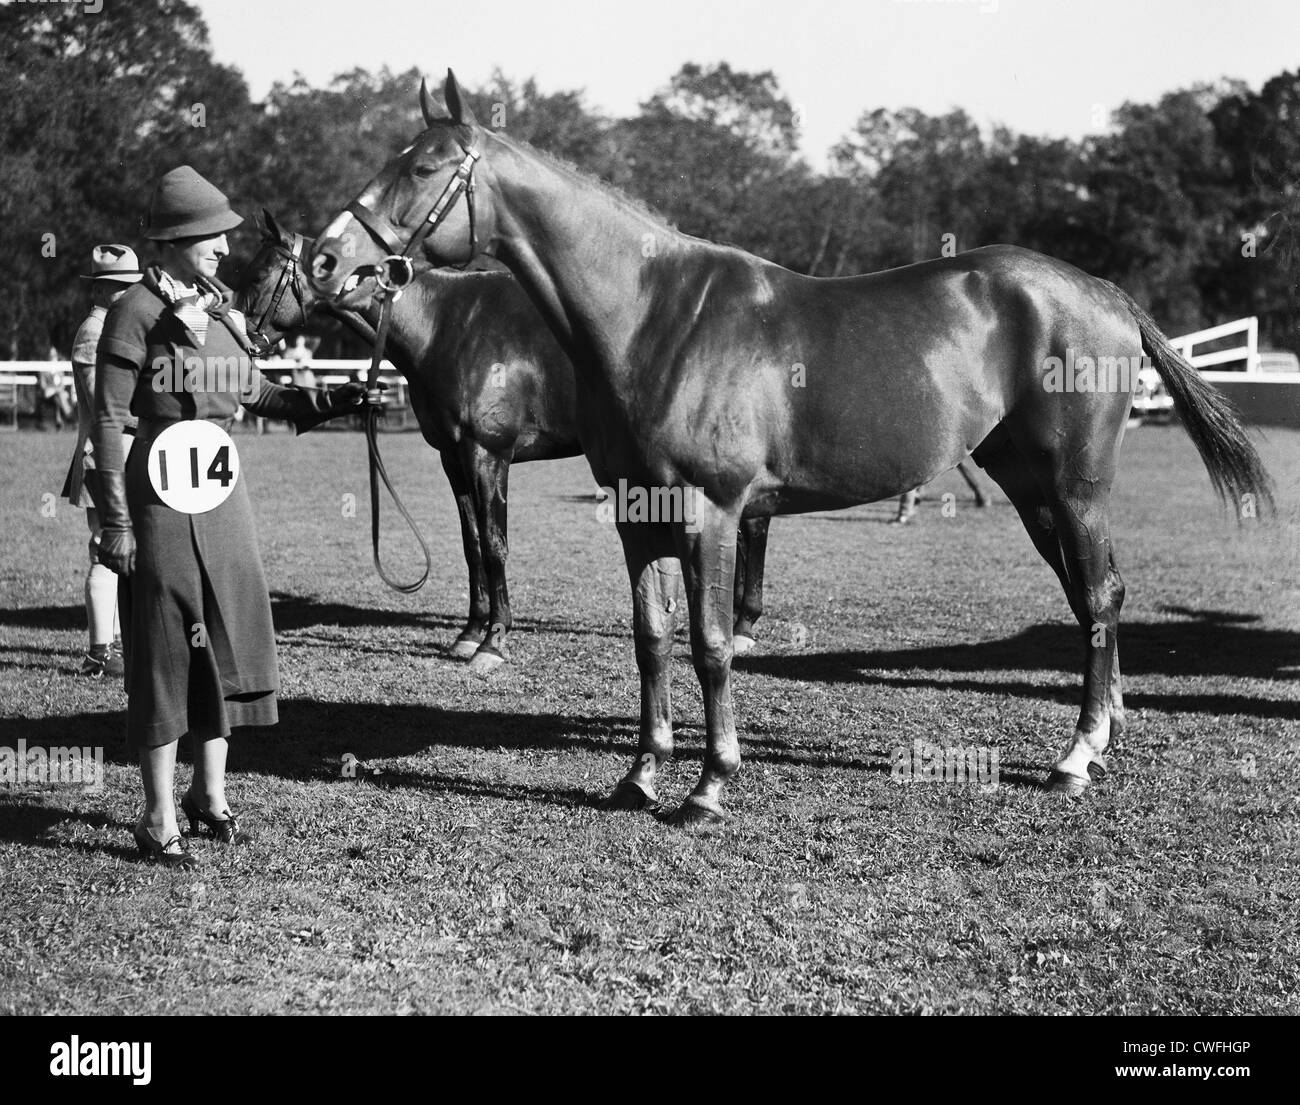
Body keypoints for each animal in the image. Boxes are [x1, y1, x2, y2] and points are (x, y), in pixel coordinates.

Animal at [237, 211, 773, 671]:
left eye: (261, 275)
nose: (242, 340)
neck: (444, 325)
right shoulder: (453, 457)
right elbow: (472, 543)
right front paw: (470, 632)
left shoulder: (487, 454)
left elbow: (495, 545)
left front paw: (494, 641)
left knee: (753, 527)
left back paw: (742, 627)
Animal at [308, 72, 1272, 824]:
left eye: (422, 167)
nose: (324, 259)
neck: (655, 316)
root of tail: (1103, 291)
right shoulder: (637, 517)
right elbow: (650, 640)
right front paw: (640, 774)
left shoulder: (712, 512)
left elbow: (711, 644)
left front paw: (708, 785)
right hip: (1031, 486)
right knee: (1091, 599)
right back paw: (1104, 736)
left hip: (1075, 487)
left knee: (1100, 600)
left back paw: (1075, 756)